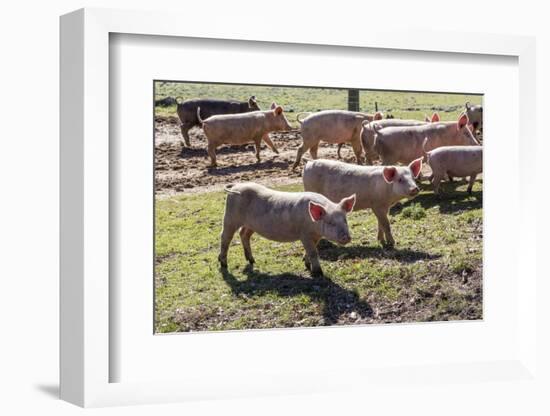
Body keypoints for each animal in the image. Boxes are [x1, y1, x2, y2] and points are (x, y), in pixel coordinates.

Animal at [220, 182, 358, 276]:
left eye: (345, 220)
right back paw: (224, 264)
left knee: (243, 234)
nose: (346, 237)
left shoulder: (316, 236)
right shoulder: (304, 234)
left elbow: (310, 250)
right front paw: (318, 273)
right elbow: (313, 252)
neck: (314, 225)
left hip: (251, 224)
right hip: (230, 217)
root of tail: (235, 186)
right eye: (330, 223)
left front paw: (306, 264)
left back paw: (252, 261)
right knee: (225, 237)